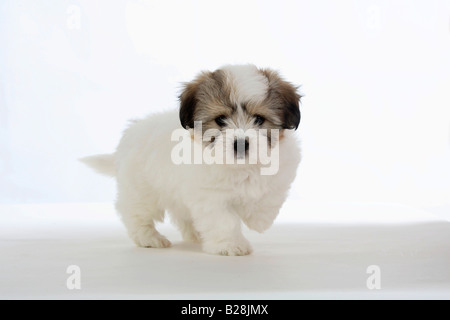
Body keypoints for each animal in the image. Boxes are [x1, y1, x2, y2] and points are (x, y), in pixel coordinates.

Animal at [83, 63, 302, 256]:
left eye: (259, 119)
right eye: (220, 119)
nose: (241, 143)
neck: (240, 166)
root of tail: (130, 134)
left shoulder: (282, 173)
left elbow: (269, 198)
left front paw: (259, 220)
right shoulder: (210, 197)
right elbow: (224, 220)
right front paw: (231, 245)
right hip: (141, 190)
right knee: (136, 214)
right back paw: (149, 238)